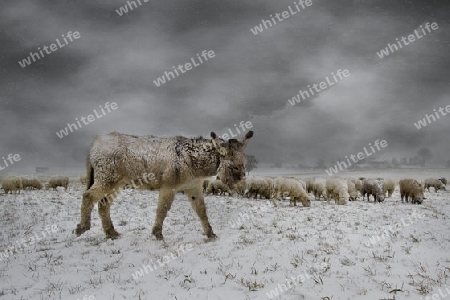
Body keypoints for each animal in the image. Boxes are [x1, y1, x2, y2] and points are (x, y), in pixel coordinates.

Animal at [75, 130, 255, 240]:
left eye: (245, 164)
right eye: (234, 167)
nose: (243, 187)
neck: (193, 159)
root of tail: (96, 141)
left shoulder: (193, 187)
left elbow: (201, 211)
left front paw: (210, 234)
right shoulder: (169, 187)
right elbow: (162, 209)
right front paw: (157, 234)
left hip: (117, 183)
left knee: (103, 204)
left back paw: (111, 232)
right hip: (107, 180)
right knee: (88, 196)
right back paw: (82, 227)